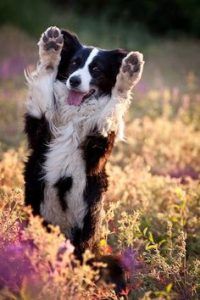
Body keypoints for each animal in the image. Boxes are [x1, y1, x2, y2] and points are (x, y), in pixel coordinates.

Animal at [24, 27, 144, 260]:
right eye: (74, 63)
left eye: (96, 69)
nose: (74, 81)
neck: (75, 114)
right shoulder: (40, 130)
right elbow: (45, 80)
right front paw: (51, 48)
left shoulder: (98, 144)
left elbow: (115, 101)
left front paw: (128, 72)